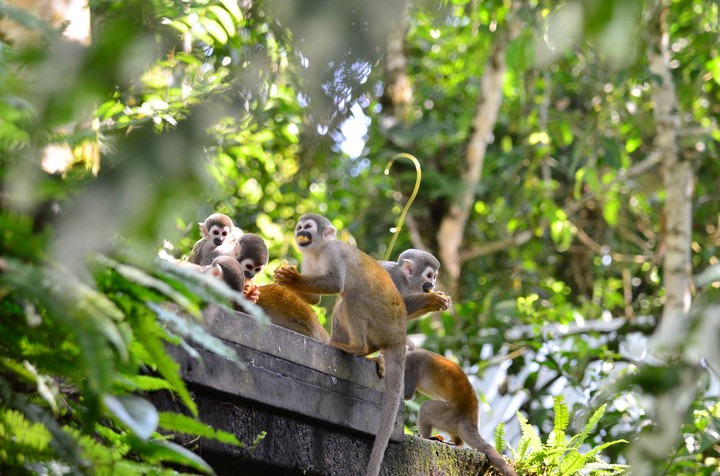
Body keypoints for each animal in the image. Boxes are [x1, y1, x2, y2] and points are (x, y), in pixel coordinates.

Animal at [273, 213, 406, 476]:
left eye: (308, 227)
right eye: (300, 227)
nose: (300, 232)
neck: (318, 249)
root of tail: (400, 334)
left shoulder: (334, 253)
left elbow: (335, 284)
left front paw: (292, 279)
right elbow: (316, 299)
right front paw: (285, 281)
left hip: (384, 320)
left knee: (351, 295)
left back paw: (357, 347)